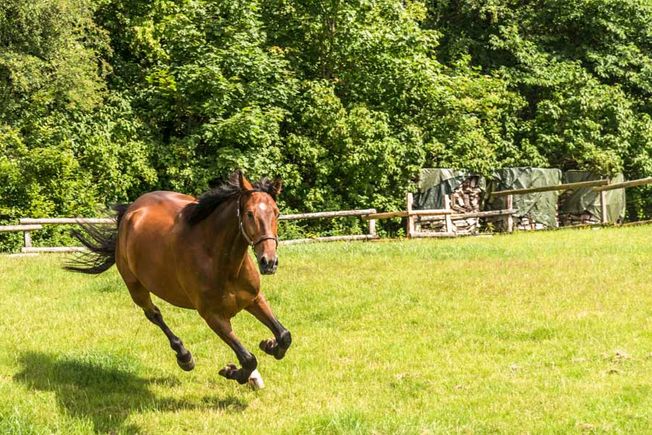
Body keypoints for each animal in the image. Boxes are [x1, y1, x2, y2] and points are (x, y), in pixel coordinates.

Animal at [66, 170, 290, 388]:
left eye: (276, 213)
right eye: (249, 214)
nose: (269, 262)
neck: (222, 263)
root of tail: (131, 210)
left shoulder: (254, 299)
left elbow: (284, 336)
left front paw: (269, 345)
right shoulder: (213, 316)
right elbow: (248, 358)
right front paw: (233, 372)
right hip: (135, 287)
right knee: (154, 314)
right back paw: (185, 357)